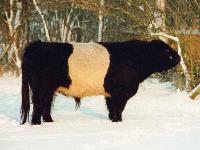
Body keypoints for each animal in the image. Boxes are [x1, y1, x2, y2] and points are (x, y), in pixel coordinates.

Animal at [20, 39, 181, 125]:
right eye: (166, 51)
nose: (179, 57)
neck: (135, 58)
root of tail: (38, 44)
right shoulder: (121, 92)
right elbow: (118, 108)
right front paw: (119, 122)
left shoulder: (111, 93)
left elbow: (111, 108)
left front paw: (113, 121)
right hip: (41, 87)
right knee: (39, 104)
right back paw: (37, 123)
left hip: (49, 88)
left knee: (46, 104)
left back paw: (50, 122)